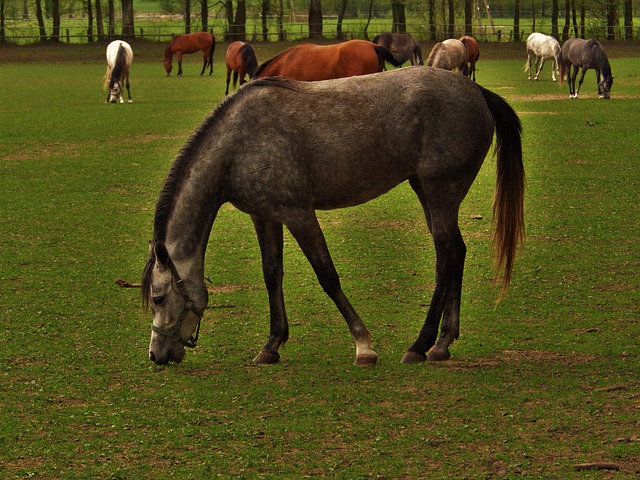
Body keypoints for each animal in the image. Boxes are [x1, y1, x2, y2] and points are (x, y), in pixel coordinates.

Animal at [142, 67, 525, 367]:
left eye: (158, 298)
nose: (156, 354)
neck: (237, 143)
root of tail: (475, 90)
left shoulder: (298, 214)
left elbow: (327, 276)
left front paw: (364, 346)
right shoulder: (265, 217)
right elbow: (272, 275)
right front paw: (271, 345)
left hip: (439, 192)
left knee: (446, 258)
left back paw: (420, 345)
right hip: (427, 192)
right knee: (456, 253)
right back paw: (442, 344)